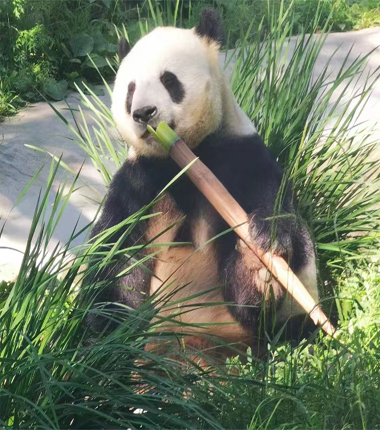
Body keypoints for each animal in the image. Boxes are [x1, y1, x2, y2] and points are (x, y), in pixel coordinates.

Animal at [87, 9, 320, 356]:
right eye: (129, 90)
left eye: (168, 80)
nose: (143, 113)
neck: (182, 156)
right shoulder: (139, 180)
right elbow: (116, 248)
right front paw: (113, 321)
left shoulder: (238, 155)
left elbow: (273, 203)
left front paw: (262, 249)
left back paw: (258, 272)